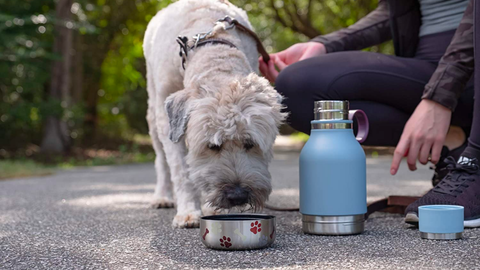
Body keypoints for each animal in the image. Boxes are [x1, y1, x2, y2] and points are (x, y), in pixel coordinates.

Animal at [142, 0, 284, 228]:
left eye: (250, 144)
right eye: (213, 146)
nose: (237, 196)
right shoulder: (167, 121)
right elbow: (180, 170)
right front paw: (188, 212)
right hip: (153, 112)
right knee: (161, 161)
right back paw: (162, 196)